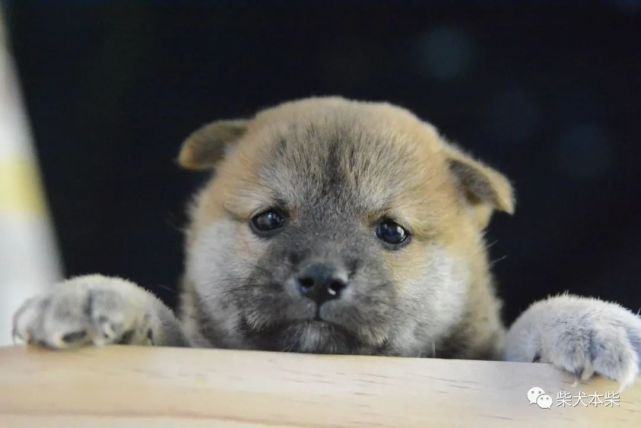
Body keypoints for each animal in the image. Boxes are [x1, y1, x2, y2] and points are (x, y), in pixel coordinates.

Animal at [11, 97, 640, 388]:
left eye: (392, 231)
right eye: (269, 220)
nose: (320, 280)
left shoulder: (477, 356)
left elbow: (530, 323)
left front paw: (591, 323)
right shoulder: (199, 349)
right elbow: (157, 320)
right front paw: (91, 298)